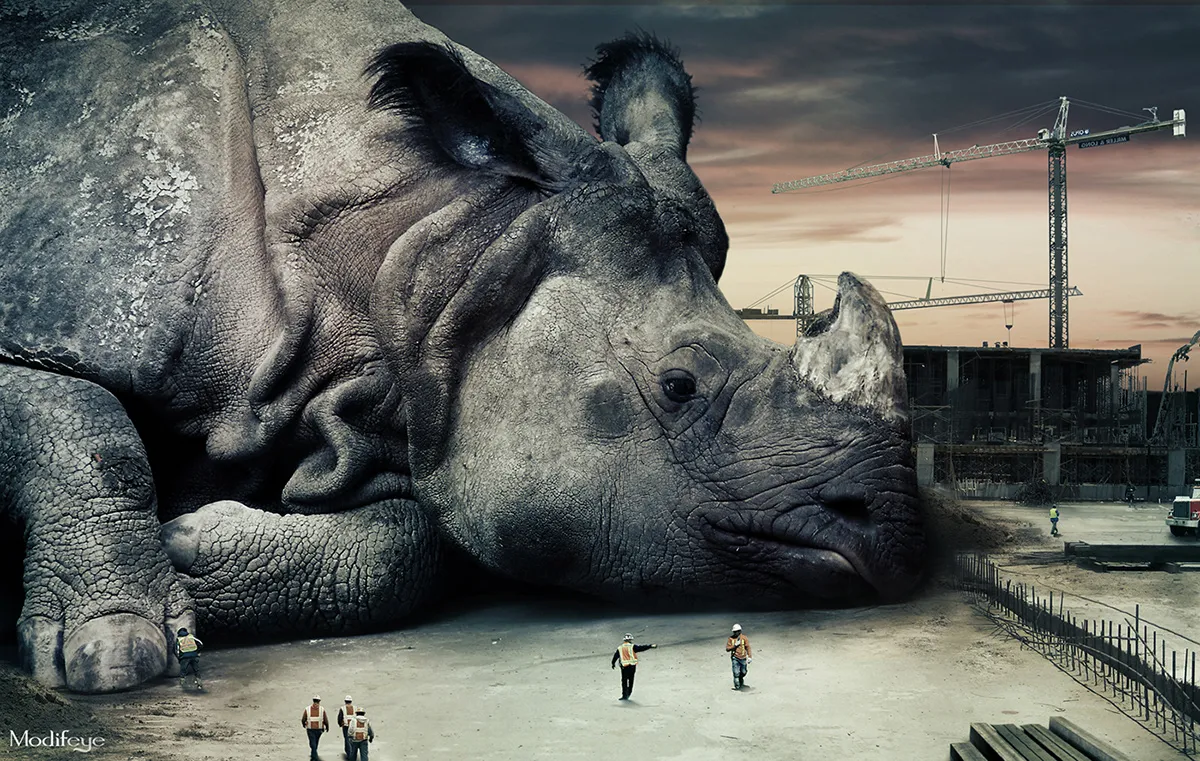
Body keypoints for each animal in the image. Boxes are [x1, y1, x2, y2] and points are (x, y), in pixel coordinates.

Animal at [0, 0, 925, 693]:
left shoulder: (390, 401)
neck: (444, 240)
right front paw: (118, 651)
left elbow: (405, 546)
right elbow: (83, 422)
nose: (893, 530)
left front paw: (191, 553)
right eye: (679, 384)